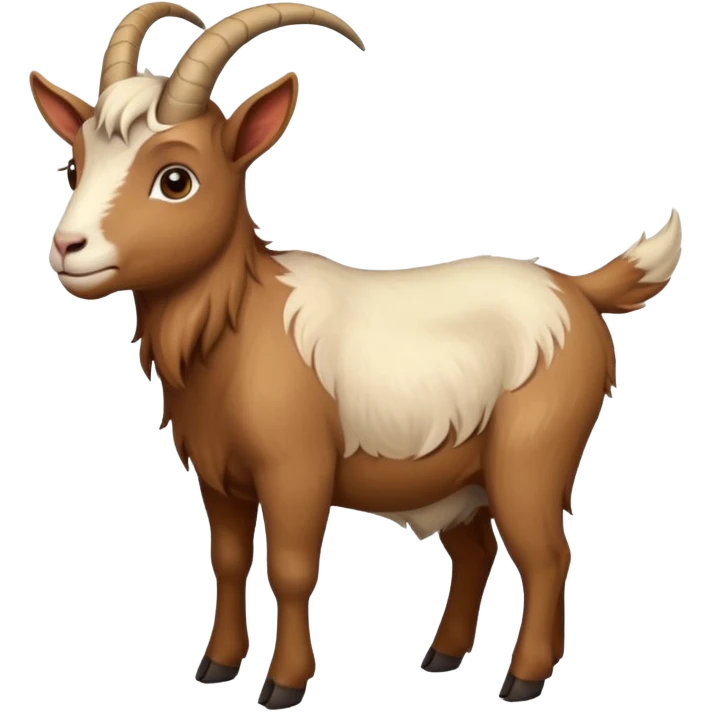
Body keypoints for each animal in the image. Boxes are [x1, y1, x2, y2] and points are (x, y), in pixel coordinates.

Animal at [29, 1, 683, 706]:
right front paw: (216, 666)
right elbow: (227, 561)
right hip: (465, 473)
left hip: (531, 455)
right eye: (74, 168)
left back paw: (524, 678)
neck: (241, 323)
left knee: (546, 555)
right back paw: (442, 656)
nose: (68, 248)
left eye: (175, 179)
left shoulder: (297, 469)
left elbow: (290, 568)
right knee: (476, 551)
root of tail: (575, 289)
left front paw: (283, 684)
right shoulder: (219, 475)